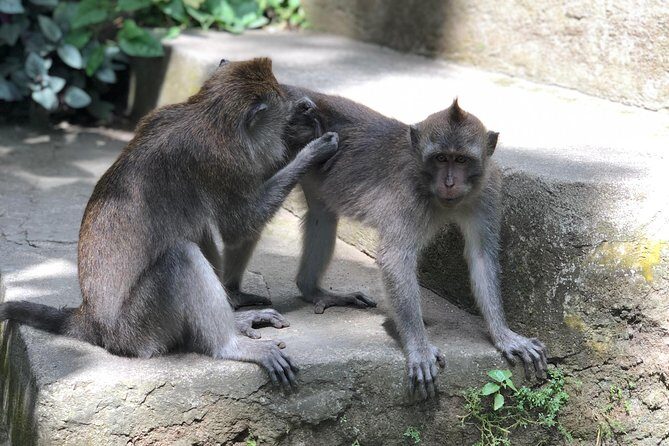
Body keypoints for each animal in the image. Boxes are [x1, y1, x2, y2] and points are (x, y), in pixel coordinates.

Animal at [0, 58, 339, 389]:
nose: (305, 106)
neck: (208, 116)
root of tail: (91, 321)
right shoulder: (221, 162)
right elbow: (238, 226)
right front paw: (309, 150)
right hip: (140, 330)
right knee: (181, 256)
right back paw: (229, 345)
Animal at [267, 86, 548, 400]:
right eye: (440, 158)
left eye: (461, 160)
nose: (449, 182)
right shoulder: (407, 193)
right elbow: (395, 257)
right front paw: (419, 348)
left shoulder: (487, 189)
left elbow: (482, 257)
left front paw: (504, 335)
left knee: (322, 215)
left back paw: (312, 289)